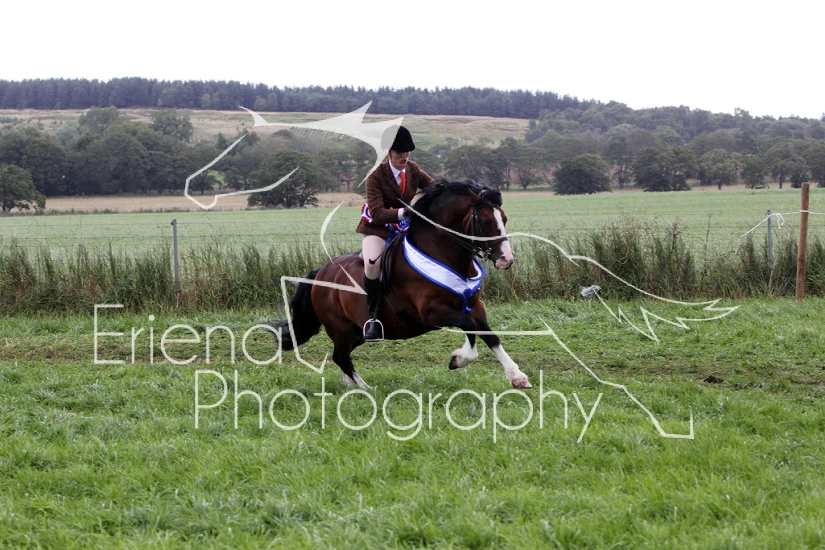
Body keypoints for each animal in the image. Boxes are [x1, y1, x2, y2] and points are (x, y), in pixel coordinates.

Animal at [278, 179, 532, 390]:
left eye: (504, 219)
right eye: (487, 221)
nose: (506, 259)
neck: (444, 253)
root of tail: (320, 272)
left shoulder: (474, 305)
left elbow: (489, 335)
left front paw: (517, 377)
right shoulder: (432, 313)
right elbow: (468, 325)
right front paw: (458, 360)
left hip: (356, 332)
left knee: (341, 356)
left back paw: (351, 386)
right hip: (339, 328)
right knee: (342, 358)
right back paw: (365, 389)